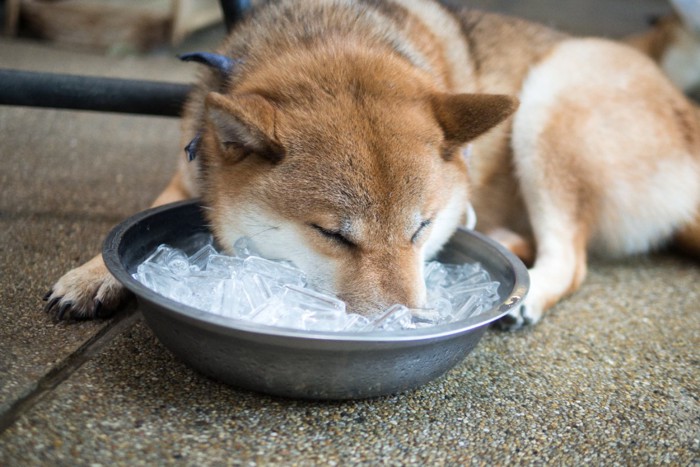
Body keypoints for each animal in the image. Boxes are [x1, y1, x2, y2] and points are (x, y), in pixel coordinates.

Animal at [46, 0, 700, 330]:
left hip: (552, 99)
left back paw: (527, 293)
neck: (326, 34)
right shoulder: (189, 167)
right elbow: (135, 221)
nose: (402, 321)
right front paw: (91, 275)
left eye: (420, 228)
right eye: (333, 235)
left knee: (571, 258)